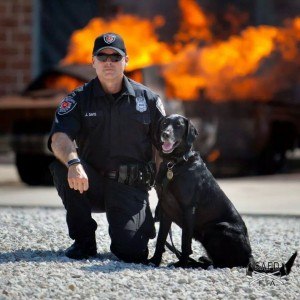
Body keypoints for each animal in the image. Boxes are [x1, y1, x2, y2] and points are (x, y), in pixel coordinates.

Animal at [149, 113, 296, 274]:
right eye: (164, 123)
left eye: (179, 125)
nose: (165, 134)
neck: (175, 163)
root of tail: (250, 257)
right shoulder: (165, 208)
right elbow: (160, 239)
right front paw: (154, 261)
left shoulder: (189, 209)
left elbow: (185, 242)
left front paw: (181, 264)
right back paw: (202, 260)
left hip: (216, 228)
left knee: (225, 263)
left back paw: (197, 264)